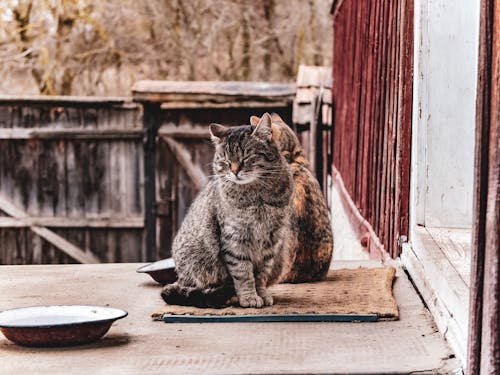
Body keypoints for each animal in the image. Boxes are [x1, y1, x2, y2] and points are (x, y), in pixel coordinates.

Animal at [162, 114, 296, 308]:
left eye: (246, 157)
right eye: (225, 160)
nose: (234, 171)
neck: (257, 195)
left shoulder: (271, 239)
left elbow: (261, 274)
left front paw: (262, 294)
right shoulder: (235, 237)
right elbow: (243, 273)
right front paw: (248, 297)